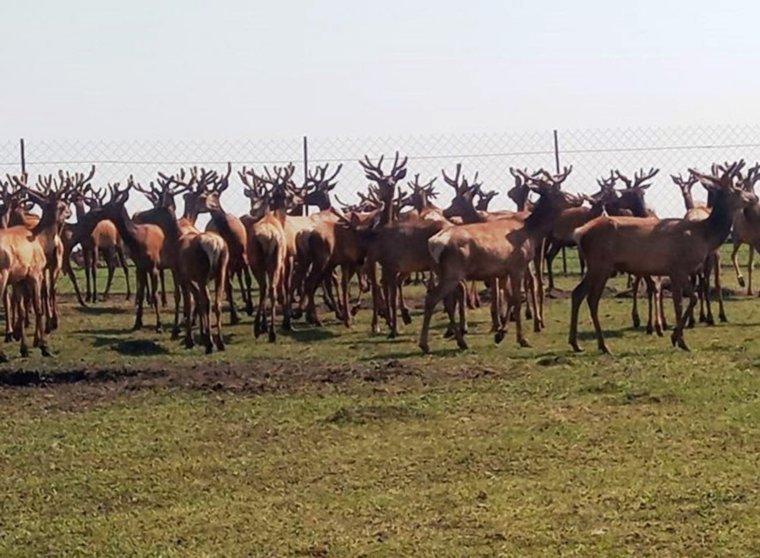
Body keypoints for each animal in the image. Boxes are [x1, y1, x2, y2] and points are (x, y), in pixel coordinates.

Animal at [568, 161, 756, 354]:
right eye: (736, 190)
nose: (754, 198)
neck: (704, 235)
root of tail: (579, 233)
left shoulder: (674, 271)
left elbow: (679, 303)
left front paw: (678, 338)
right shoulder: (680, 267)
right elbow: (692, 298)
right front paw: (677, 338)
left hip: (599, 266)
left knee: (580, 294)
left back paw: (579, 343)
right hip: (600, 264)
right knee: (589, 298)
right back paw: (601, 345)